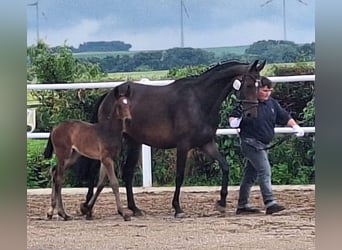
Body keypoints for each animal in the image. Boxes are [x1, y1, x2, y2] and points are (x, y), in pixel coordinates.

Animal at [42, 85, 132, 221]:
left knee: (54, 172)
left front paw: (87, 210)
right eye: (119, 105)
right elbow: (114, 183)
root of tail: (55, 128)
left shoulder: (107, 159)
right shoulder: (106, 159)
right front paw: (123, 213)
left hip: (73, 156)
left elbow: (101, 184)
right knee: (58, 178)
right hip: (62, 154)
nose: (129, 119)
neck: (109, 131)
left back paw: (51, 212)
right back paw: (63, 214)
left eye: (129, 104)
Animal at [79, 59, 266, 218]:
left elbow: (225, 167)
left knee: (127, 172)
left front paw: (221, 202)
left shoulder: (206, 143)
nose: (251, 115)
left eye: (260, 85)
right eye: (249, 84)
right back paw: (87, 207)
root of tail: (109, 95)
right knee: (96, 169)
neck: (199, 100)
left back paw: (133, 208)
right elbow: (179, 176)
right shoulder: (183, 146)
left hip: (133, 141)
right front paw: (177, 208)